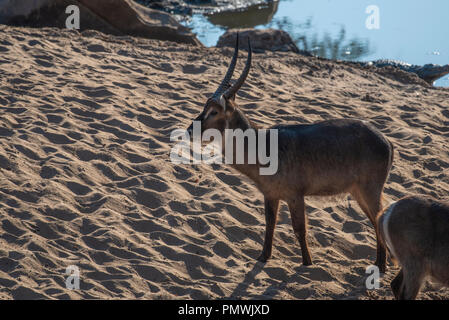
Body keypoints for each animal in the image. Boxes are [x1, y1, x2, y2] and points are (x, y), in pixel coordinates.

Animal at [186, 34, 392, 270]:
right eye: (205, 107)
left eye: (214, 111)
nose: (190, 129)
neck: (262, 146)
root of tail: (386, 140)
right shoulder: (270, 195)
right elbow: (270, 224)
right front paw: (263, 257)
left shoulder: (295, 196)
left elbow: (299, 229)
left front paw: (307, 263)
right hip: (358, 192)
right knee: (376, 220)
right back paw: (379, 263)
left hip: (369, 190)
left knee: (379, 218)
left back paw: (381, 265)